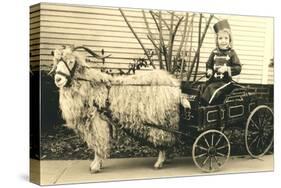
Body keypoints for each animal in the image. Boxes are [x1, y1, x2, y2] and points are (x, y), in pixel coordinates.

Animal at [51, 46, 184, 173]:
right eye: (57, 62)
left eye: (71, 61)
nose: (58, 79)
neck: (91, 88)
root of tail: (175, 86)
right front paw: (96, 164)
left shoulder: (99, 122)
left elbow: (99, 144)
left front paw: (96, 166)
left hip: (161, 120)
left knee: (164, 140)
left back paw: (159, 162)